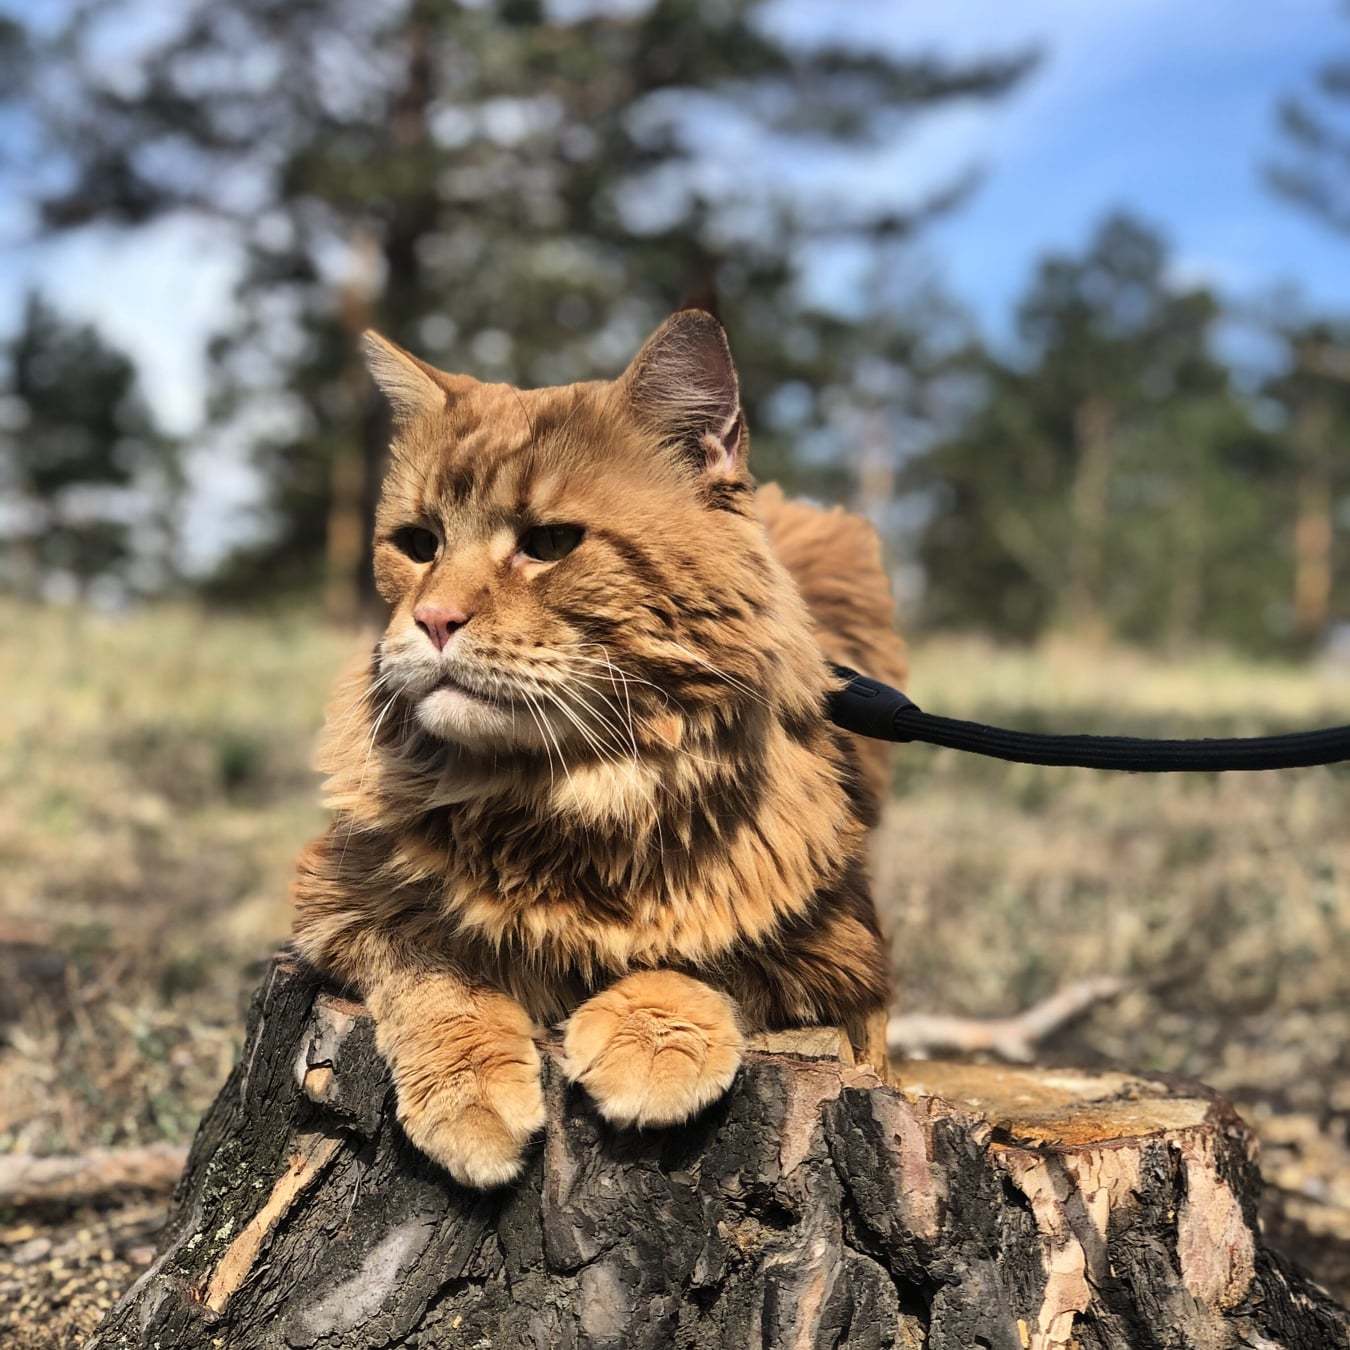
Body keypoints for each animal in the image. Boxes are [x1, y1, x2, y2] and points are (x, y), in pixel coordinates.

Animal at [292, 310, 907, 1188]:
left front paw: (649, 1039)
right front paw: (470, 1096)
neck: (562, 796)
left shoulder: (848, 965)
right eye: (418, 544)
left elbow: (706, 954)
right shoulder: (333, 906)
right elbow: (438, 963)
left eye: (550, 543)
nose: (433, 618)